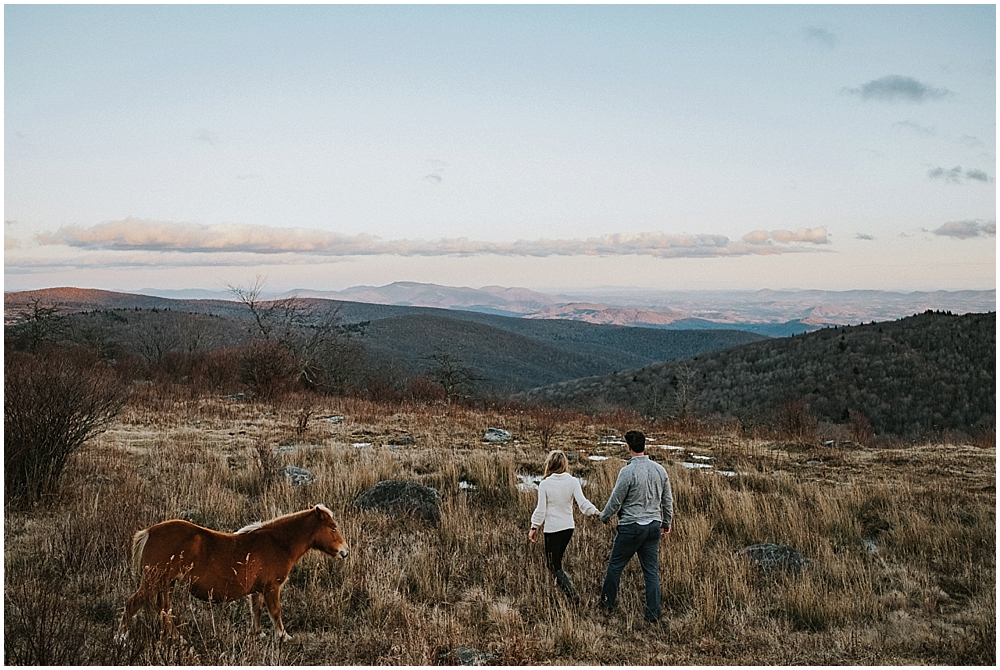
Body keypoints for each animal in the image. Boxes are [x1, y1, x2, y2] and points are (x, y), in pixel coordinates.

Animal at [118, 506, 348, 644]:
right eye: (333, 527)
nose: (345, 551)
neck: (277, 542)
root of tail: (149, 532)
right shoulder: (272, 588)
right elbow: (275, 611)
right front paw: (283, 636)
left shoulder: (258, 590)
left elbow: (257, 610)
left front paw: (259, 633)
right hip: (154, 581)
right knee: (133, 604)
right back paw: (121, 638)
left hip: (168, 583)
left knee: (165, 610)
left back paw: (178, 639)